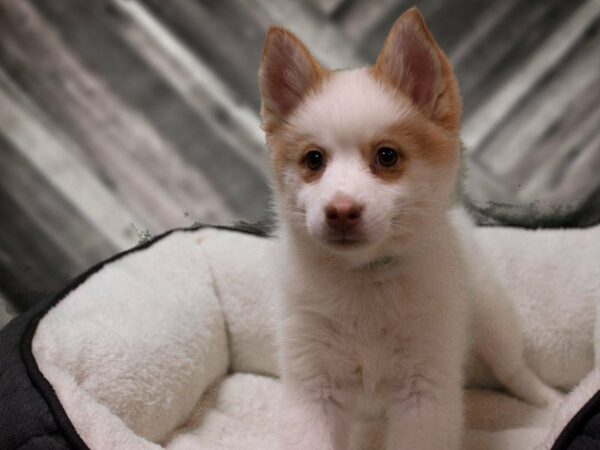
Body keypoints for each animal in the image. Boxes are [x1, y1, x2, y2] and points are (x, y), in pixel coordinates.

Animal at [258, 7, 564, 450]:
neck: (366, 280)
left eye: (387, 156)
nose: (341, 211)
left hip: (495, 320)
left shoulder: (425, 390)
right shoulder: (313, 387)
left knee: (514, 369)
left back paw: (552, 402)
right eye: (314, 160)